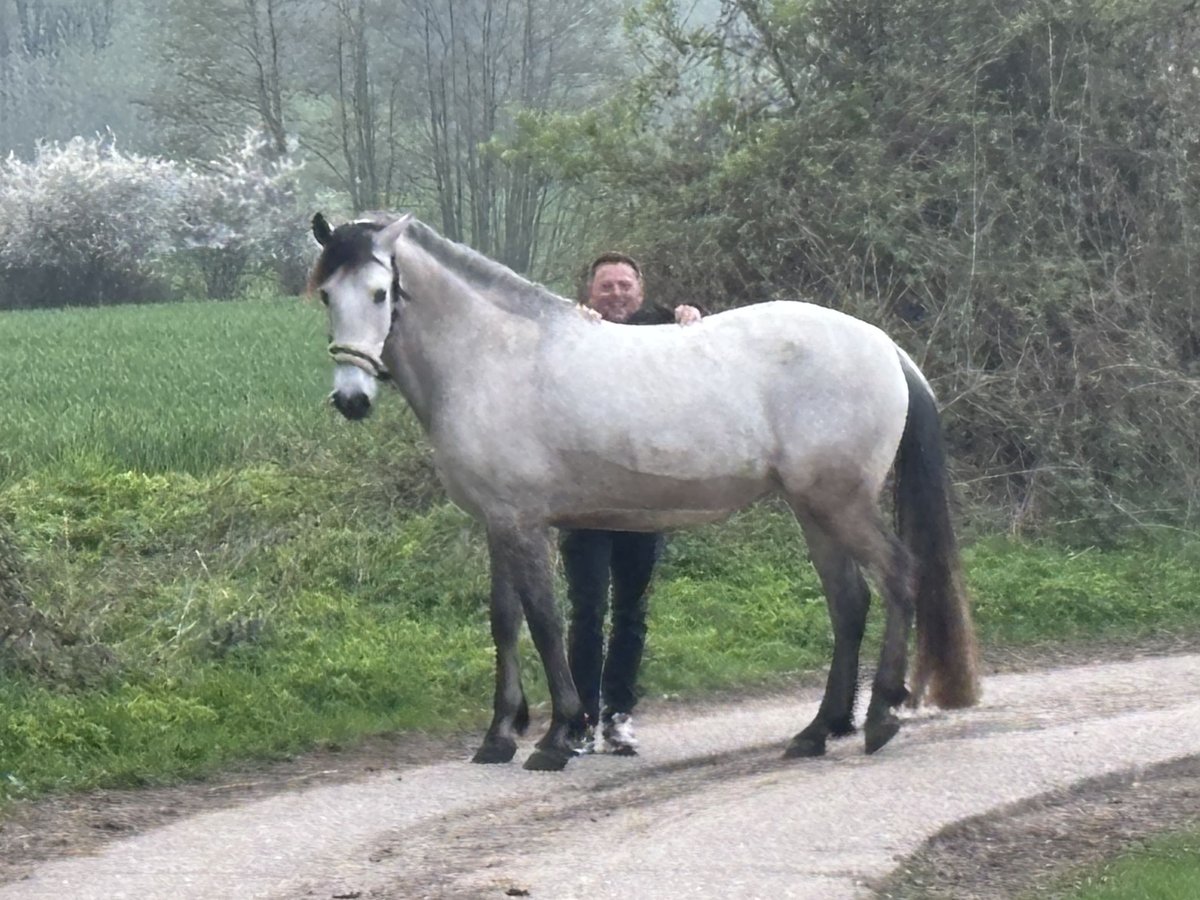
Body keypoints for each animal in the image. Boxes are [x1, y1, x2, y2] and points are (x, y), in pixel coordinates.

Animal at [307, 211, 980, 771]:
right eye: (325, 295)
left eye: (380, 293)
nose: (351, 399)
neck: (491, 356)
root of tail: (885, 347)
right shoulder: (497, 522)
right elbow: (505, 622)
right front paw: (499, 736)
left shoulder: (523, 522)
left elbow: (545, 621)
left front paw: (556, 737)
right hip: (814, 510)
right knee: (849, 602)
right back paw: (818, 730)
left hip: (841, 504)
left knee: (899, 577)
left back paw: (881, 716)